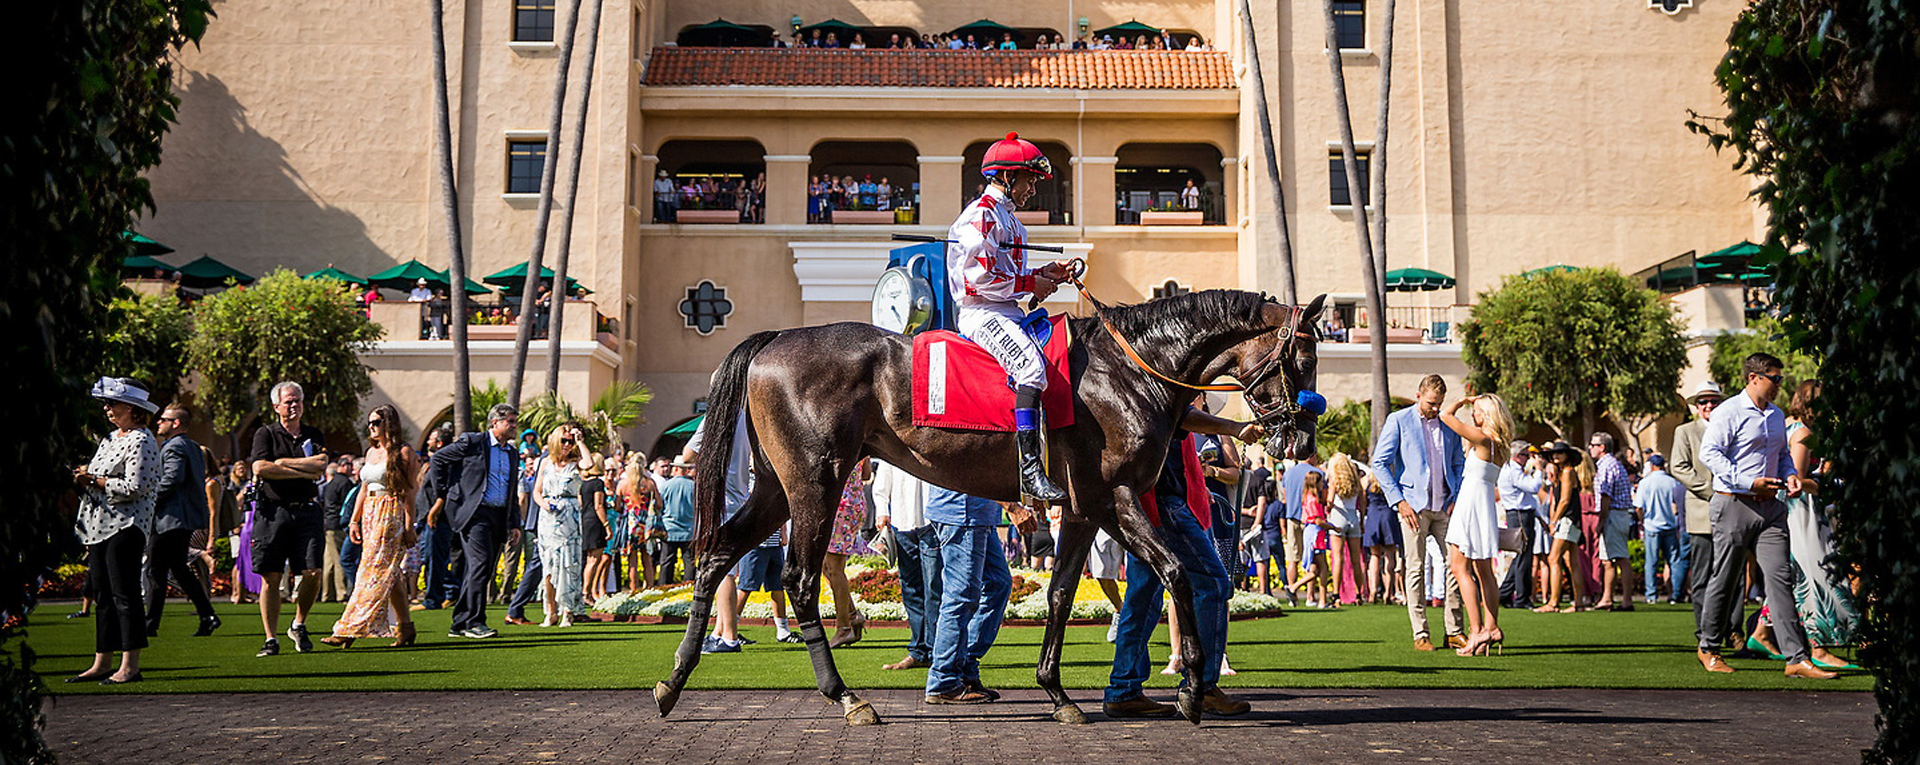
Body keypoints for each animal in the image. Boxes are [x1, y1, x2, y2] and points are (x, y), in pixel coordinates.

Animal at [648, 290, 1320, 726]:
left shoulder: (1082, 509)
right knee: (799, 579)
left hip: (773, 487)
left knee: (714, 557)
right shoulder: (1117, 496)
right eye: (1304, 357)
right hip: (816, 483)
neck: (1129, 371)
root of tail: (776, 339)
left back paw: (672, 682)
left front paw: (1058, 694)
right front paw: (1190, 691)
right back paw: (845, 697)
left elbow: (1059, 593)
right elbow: (1177, 571)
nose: (1302, 440)